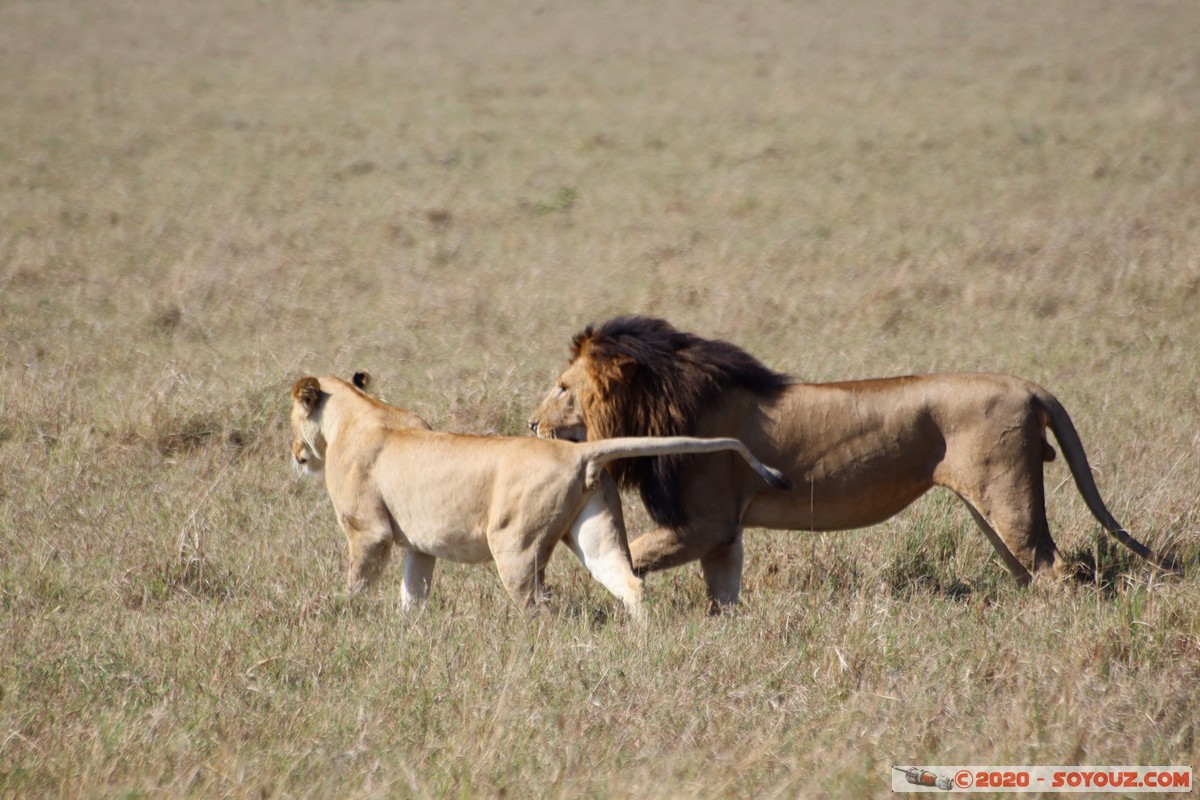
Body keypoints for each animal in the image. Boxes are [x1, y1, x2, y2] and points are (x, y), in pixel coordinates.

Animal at [290, 371, 787, 618]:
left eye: (291, 415)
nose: (295, 453)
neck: (358, 411)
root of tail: (577, 450)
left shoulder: (369, 531)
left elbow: (357, 583)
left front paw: (344, 617)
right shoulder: (420, 547)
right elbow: (412, 595)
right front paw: (407, 631)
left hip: (514, 544)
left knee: (538, 606)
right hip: (596, 535)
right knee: (629, 583)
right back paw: (640, 638)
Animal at [528, 314, 1161, 606]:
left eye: (562, 387)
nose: (530, 424)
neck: (665, 403)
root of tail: (1028, 387)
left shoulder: (704, 522)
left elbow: (629, 558)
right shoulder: (723, 534)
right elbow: (722, 595)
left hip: (1007, 499)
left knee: (1056, 570)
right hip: (995, 508)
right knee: (1032, 569)